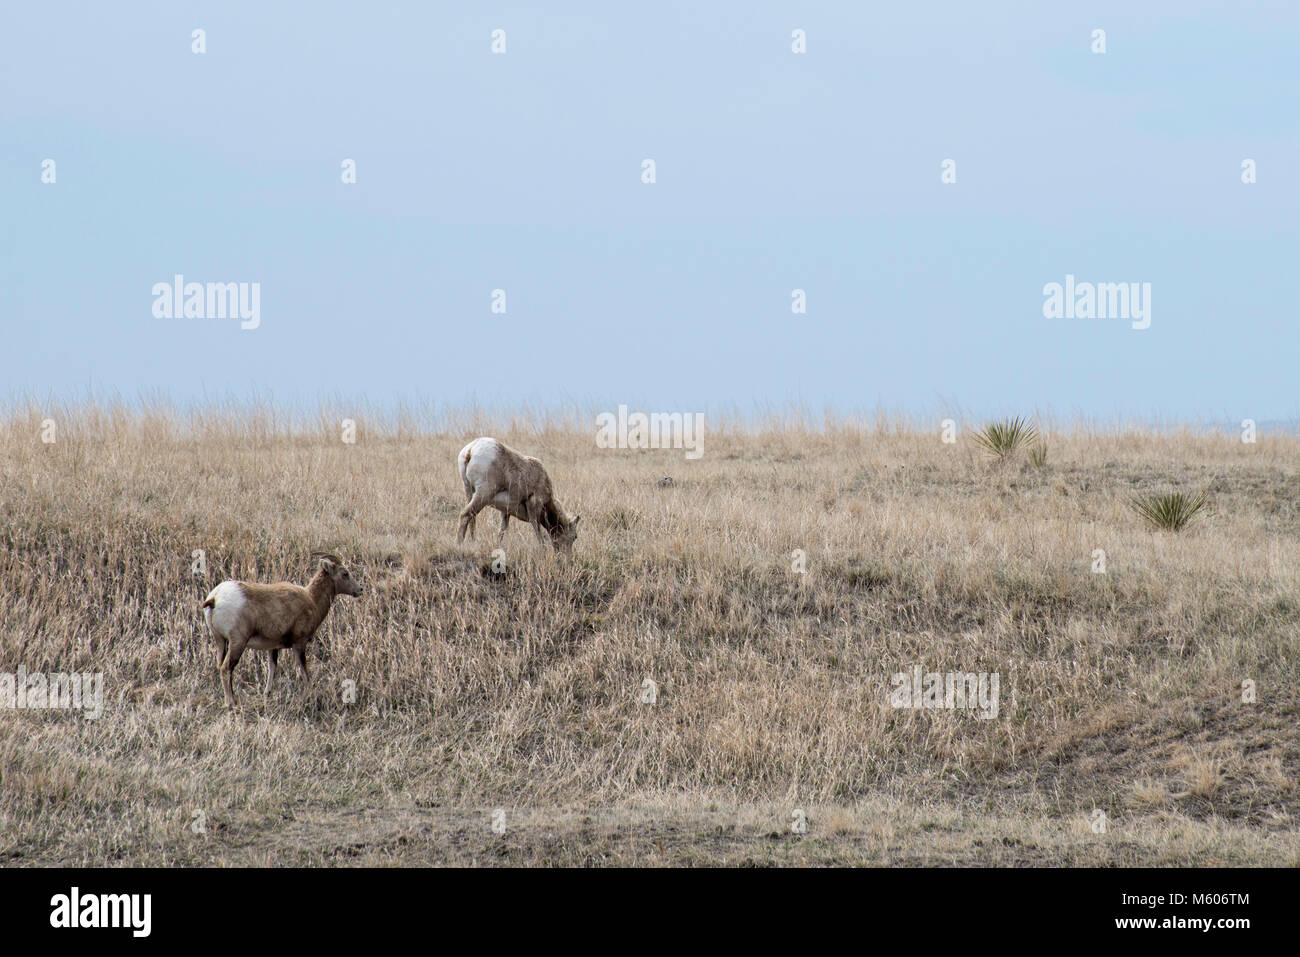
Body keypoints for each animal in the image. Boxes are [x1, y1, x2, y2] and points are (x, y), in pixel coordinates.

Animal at [200, 553, 363, 708]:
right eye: (345, 573)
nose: (360, 589)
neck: (311, 600)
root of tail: (215, 597)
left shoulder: (273, 647)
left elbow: (272, 667)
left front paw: (267, 694)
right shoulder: (299, 644)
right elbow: (304, 670)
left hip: (220, 641)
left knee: (221, 666)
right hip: (237, 643)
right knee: (226, 668)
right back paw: (231, 703)